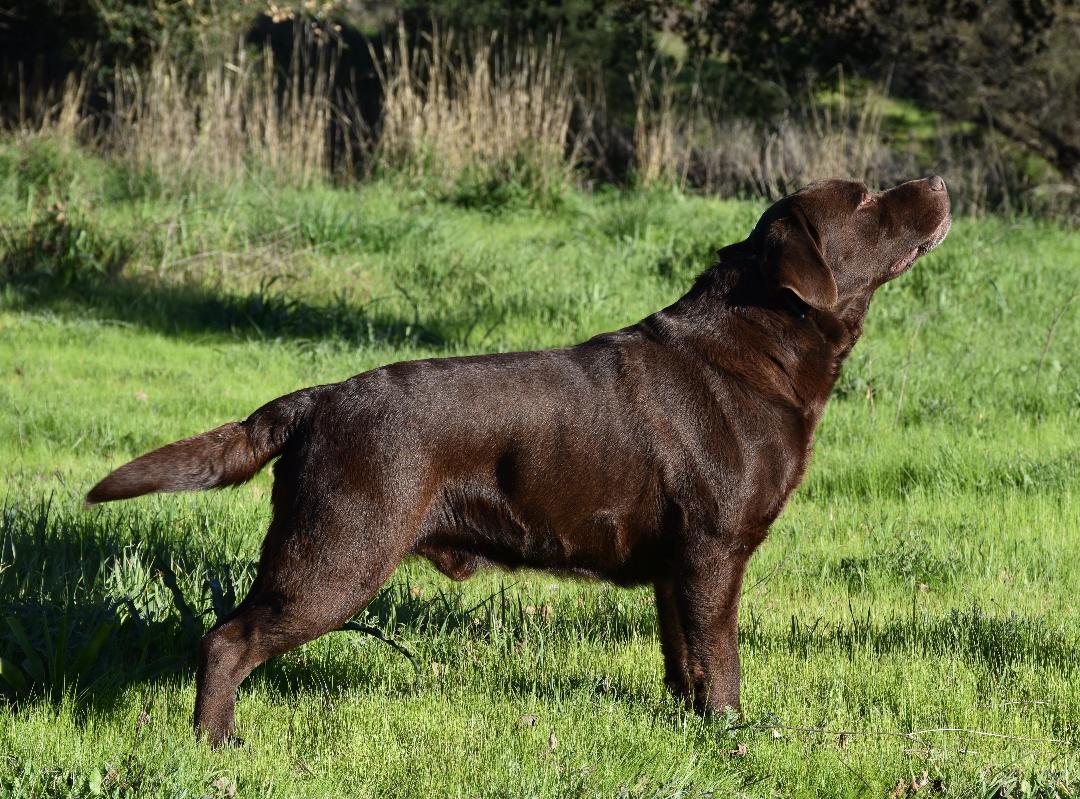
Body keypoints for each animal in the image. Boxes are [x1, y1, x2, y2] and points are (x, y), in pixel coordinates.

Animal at [90, 174, 954, 742]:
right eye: (866, 199)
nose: (940, 179)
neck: (762, 342)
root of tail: (318, 398)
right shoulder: (714, 550)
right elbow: (724, 658)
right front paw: (731, 734)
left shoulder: (676, 563)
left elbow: (684, 655)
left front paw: (684, 723)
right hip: (338, 554)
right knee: (225, 640)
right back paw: (215, 741)